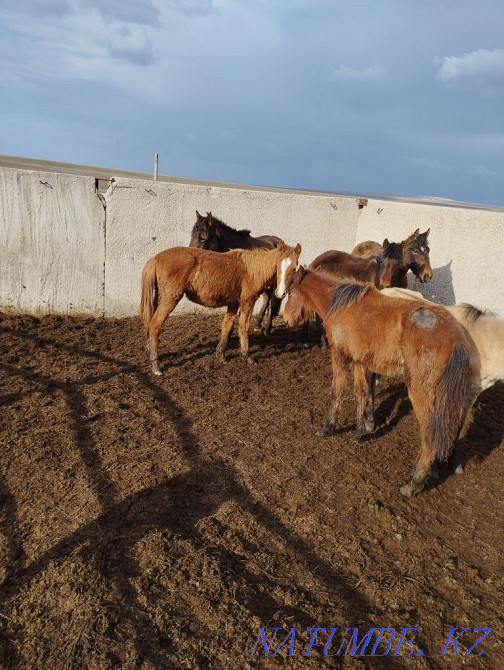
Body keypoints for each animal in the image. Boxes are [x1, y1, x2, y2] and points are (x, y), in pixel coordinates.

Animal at [140, 241, 301, 375]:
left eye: (294, 268)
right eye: (278, 265)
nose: (280, 293)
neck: (252, 270)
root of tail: (156, 258)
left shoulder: (233, 303)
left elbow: (227, 326)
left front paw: (221, 355)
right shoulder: (247, 302)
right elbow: (243, 326)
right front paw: (247, 356)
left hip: (158, 297)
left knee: (149, 323)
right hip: (169, 299)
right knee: (155, 325)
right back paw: (156, 365)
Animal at [282, 267, 480, 496]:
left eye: (289, 293)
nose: (286, 319)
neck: (342, 305)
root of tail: (456, 337)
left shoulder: (339, 356)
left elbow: (337, 390)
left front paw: (328, 428)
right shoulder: (359, 362)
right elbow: (361, 393)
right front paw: (360, 431)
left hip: (420, 391)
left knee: (429, 436)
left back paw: (414, 483)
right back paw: (415, 473)